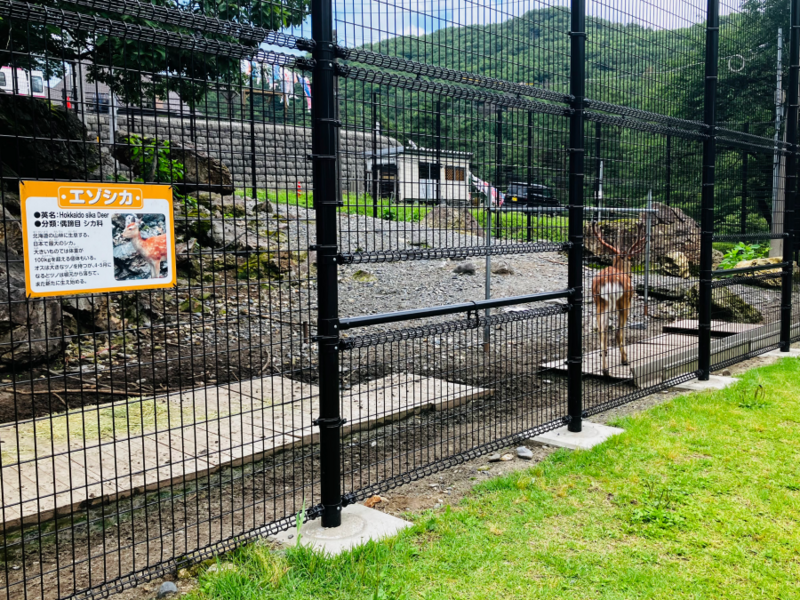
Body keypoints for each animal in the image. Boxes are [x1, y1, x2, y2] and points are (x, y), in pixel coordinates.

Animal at [592, 223, 648, 376]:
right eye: (630, 259)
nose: (631, 275)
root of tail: (609, 280)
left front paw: (603, 353)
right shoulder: (628, 300)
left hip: (600, 301)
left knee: (602, 329)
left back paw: (605, 368)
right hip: (622, 301)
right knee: (617, 331)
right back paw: (624, 360)